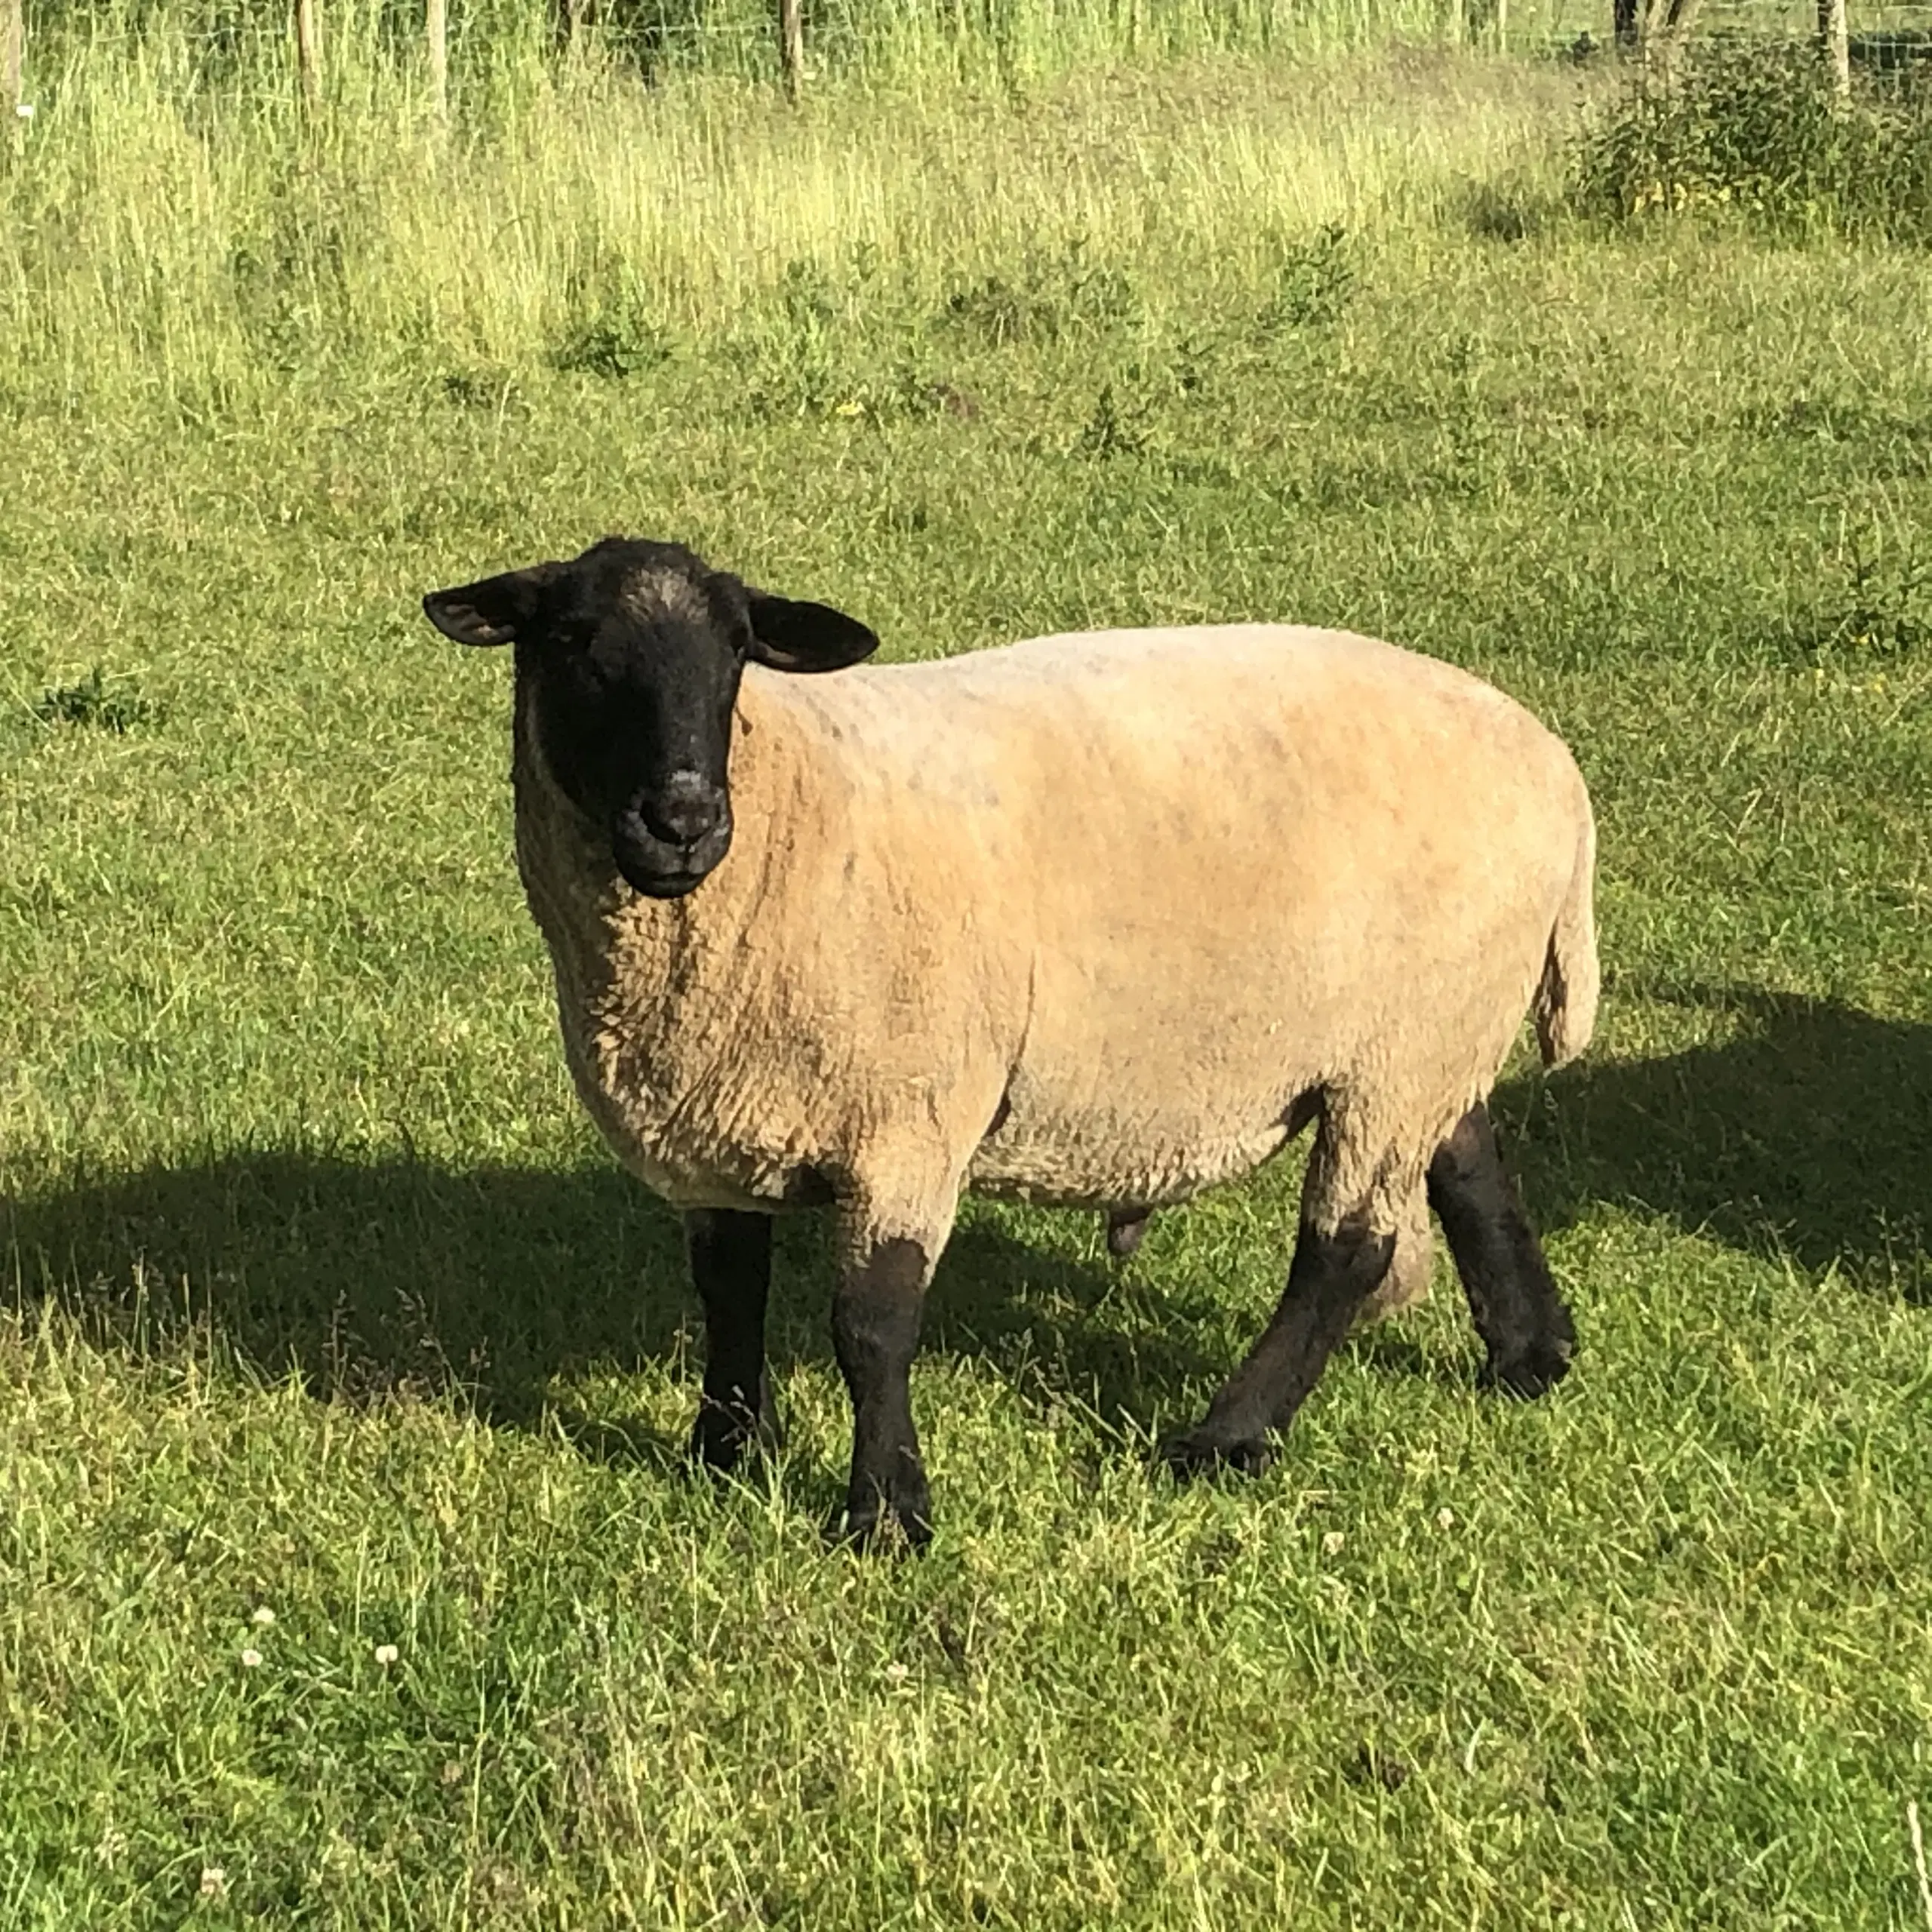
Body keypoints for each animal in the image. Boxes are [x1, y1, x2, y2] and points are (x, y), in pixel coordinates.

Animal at [423, 537, 1599, 1546]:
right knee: (1469, 1163)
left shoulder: (907, 1118)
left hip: (1402, 1046)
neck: (790, 805)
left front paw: (886, 1515)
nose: (683, 820)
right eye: (570, 642)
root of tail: (1556, 767)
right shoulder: (724, 1118)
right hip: (1427, 1027)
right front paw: (723, 1454)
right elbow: (726, 1291)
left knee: (1347, 1250)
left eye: (738, 650)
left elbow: (872, 1324)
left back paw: (1224, 1438)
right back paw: (1531, 1356)